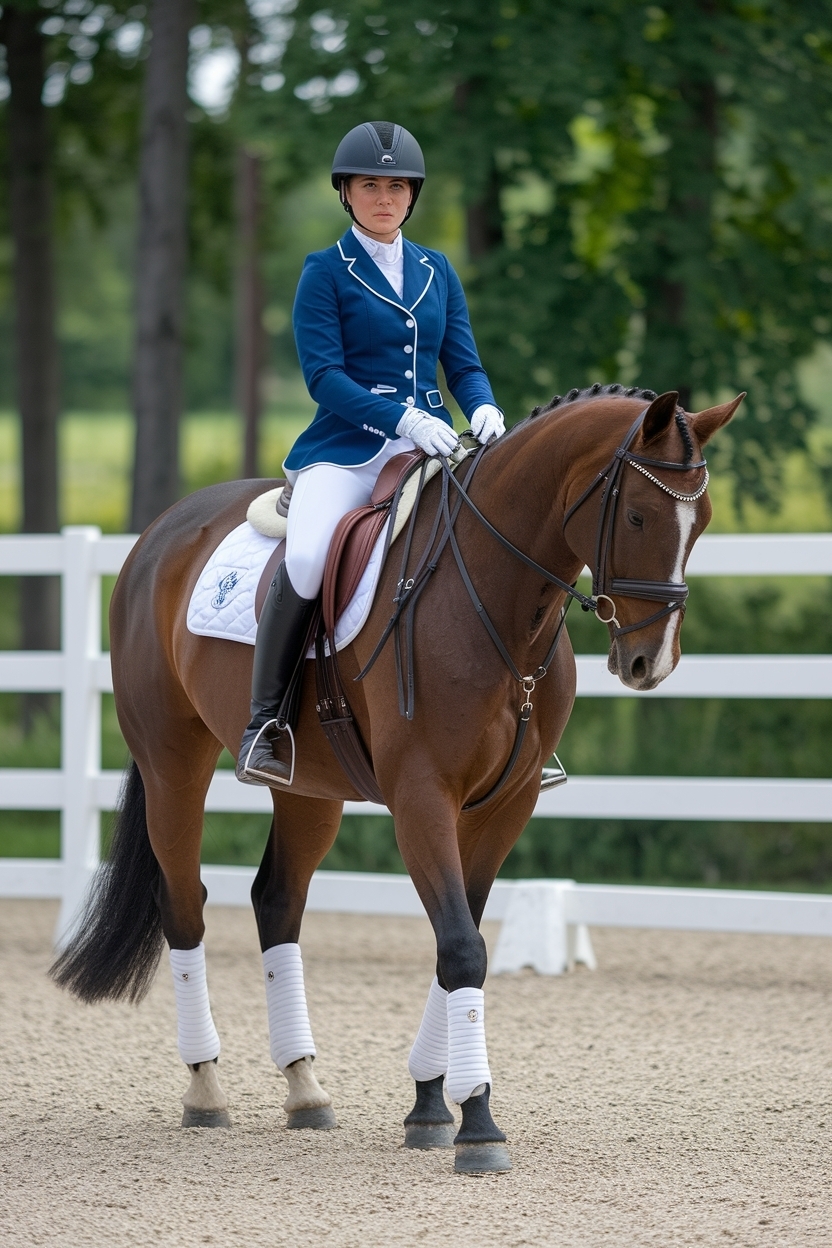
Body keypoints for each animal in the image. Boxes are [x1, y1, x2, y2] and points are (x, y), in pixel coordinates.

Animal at [51, 384, 742, 1174]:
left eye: (702, 521)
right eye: (636, 515)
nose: (648, 663)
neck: (499, 600)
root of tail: (161, 532)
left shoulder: (506, 805)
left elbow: (458, 940)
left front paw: (431, 1104)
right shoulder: (421, 798)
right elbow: (462, 947)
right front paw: (477, 1123)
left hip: (308, 788)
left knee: (277, 901)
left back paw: (305, 1087)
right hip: (173, 762)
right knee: (184, 905)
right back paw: (205, 1088)